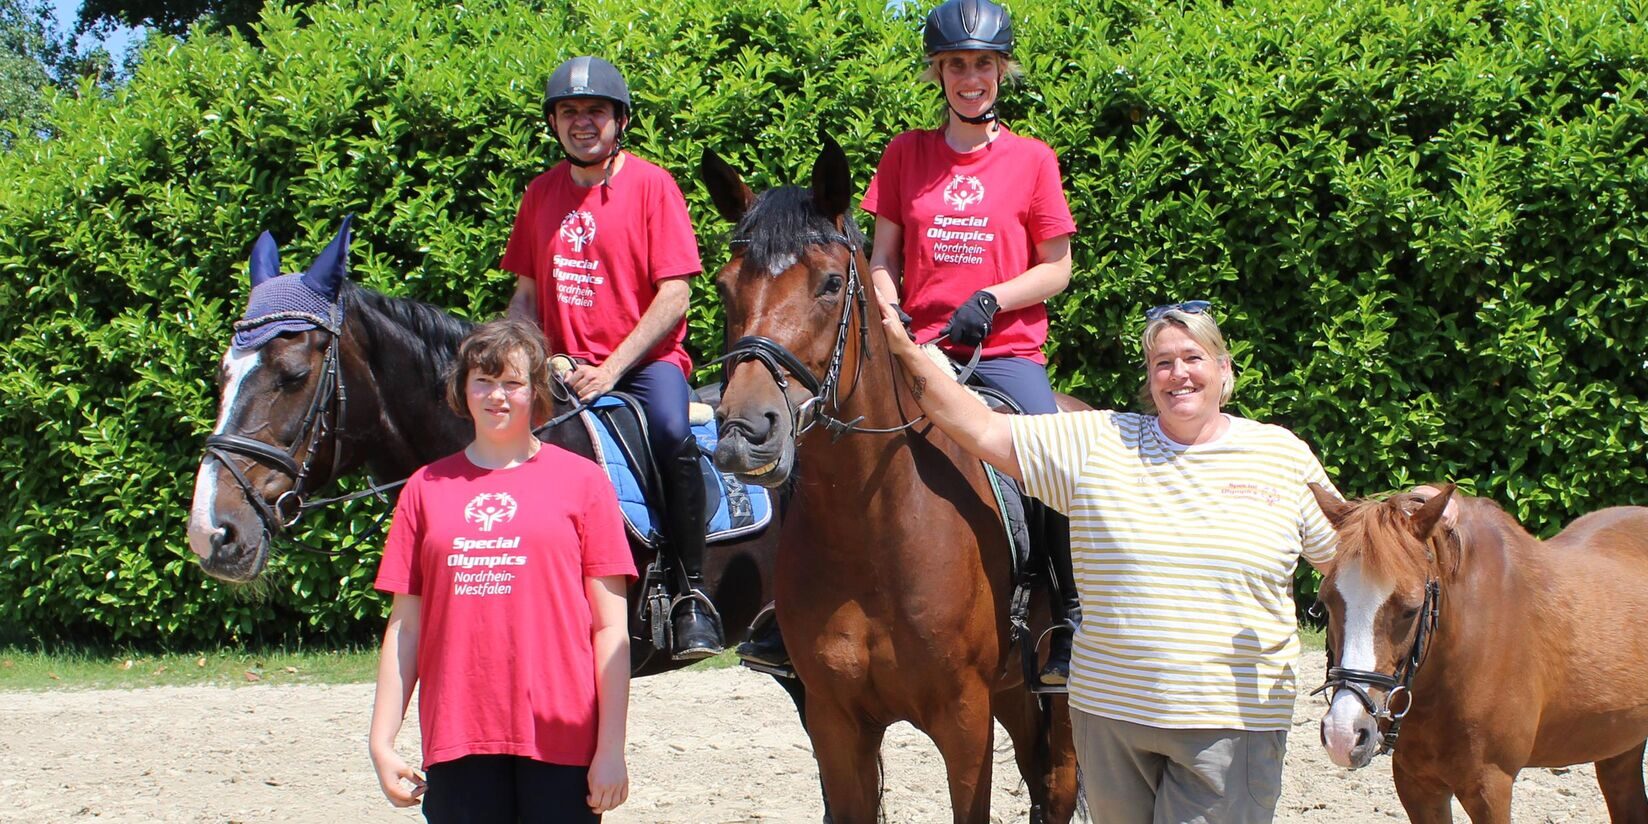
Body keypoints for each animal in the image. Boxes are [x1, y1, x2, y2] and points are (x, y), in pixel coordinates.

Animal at [702, 136, 1087, 824]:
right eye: (724, 287)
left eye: (831, 283)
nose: (746, 431)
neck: (872, 525)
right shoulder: (835, 722)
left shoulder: (964, 723)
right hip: (1013, 692)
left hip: (1059, 694)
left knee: (1059, 782)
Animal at [1311, 484, 1648, 820]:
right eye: (1327, 601)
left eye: (1410, 609)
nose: (1343, 734)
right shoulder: (1417, 784)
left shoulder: (1490, 787)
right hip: (1621, 750)